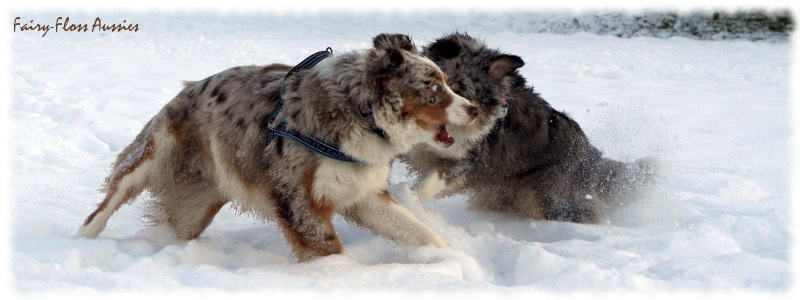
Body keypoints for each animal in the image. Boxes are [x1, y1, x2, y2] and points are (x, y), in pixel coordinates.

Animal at [400, 32, 656, 224]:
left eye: (460, 91)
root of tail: (589, 154)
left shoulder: (467, 160)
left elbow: (431, 181)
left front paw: (408, 201)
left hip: (551, 194)